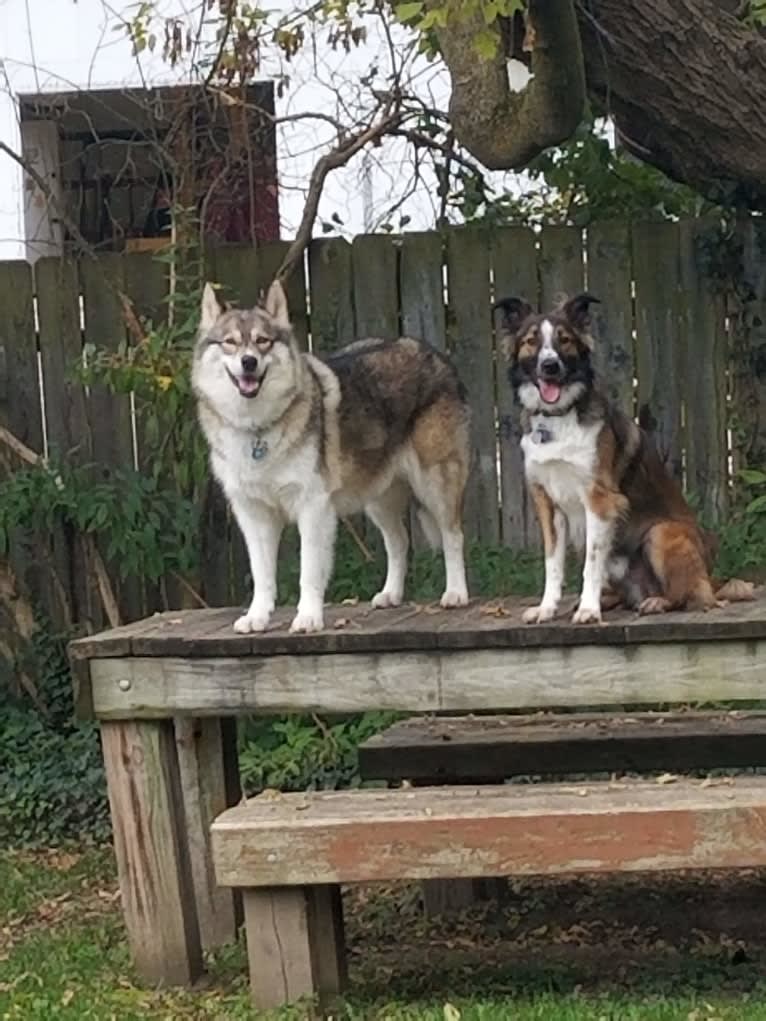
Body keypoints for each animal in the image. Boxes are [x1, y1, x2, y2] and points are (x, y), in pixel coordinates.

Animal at [192, 279, 471, 628]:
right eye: (230, 342)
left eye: (262, 341)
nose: (249, 362)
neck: (256, 427)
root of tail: (436, 355)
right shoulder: (254, 516)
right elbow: (262, 575)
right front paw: (257, 618)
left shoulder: (313, 508)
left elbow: (309, 571)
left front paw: (308, 618)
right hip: (377, 498)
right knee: (399, 542)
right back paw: (390, 595)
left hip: (435, 485)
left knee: (453, 535)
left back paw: (456, 594)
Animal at [498, 287, 755, 620]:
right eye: (531, 341)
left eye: (564, 340)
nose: (550, 366)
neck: (557, 419)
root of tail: (712, 577)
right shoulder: (548, 504)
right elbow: (552, 564)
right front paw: (547, 608)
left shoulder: (600, 500)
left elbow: (591, 564)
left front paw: (588, 610)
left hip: (661, 533)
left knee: (694, 595)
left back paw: (656, 602)